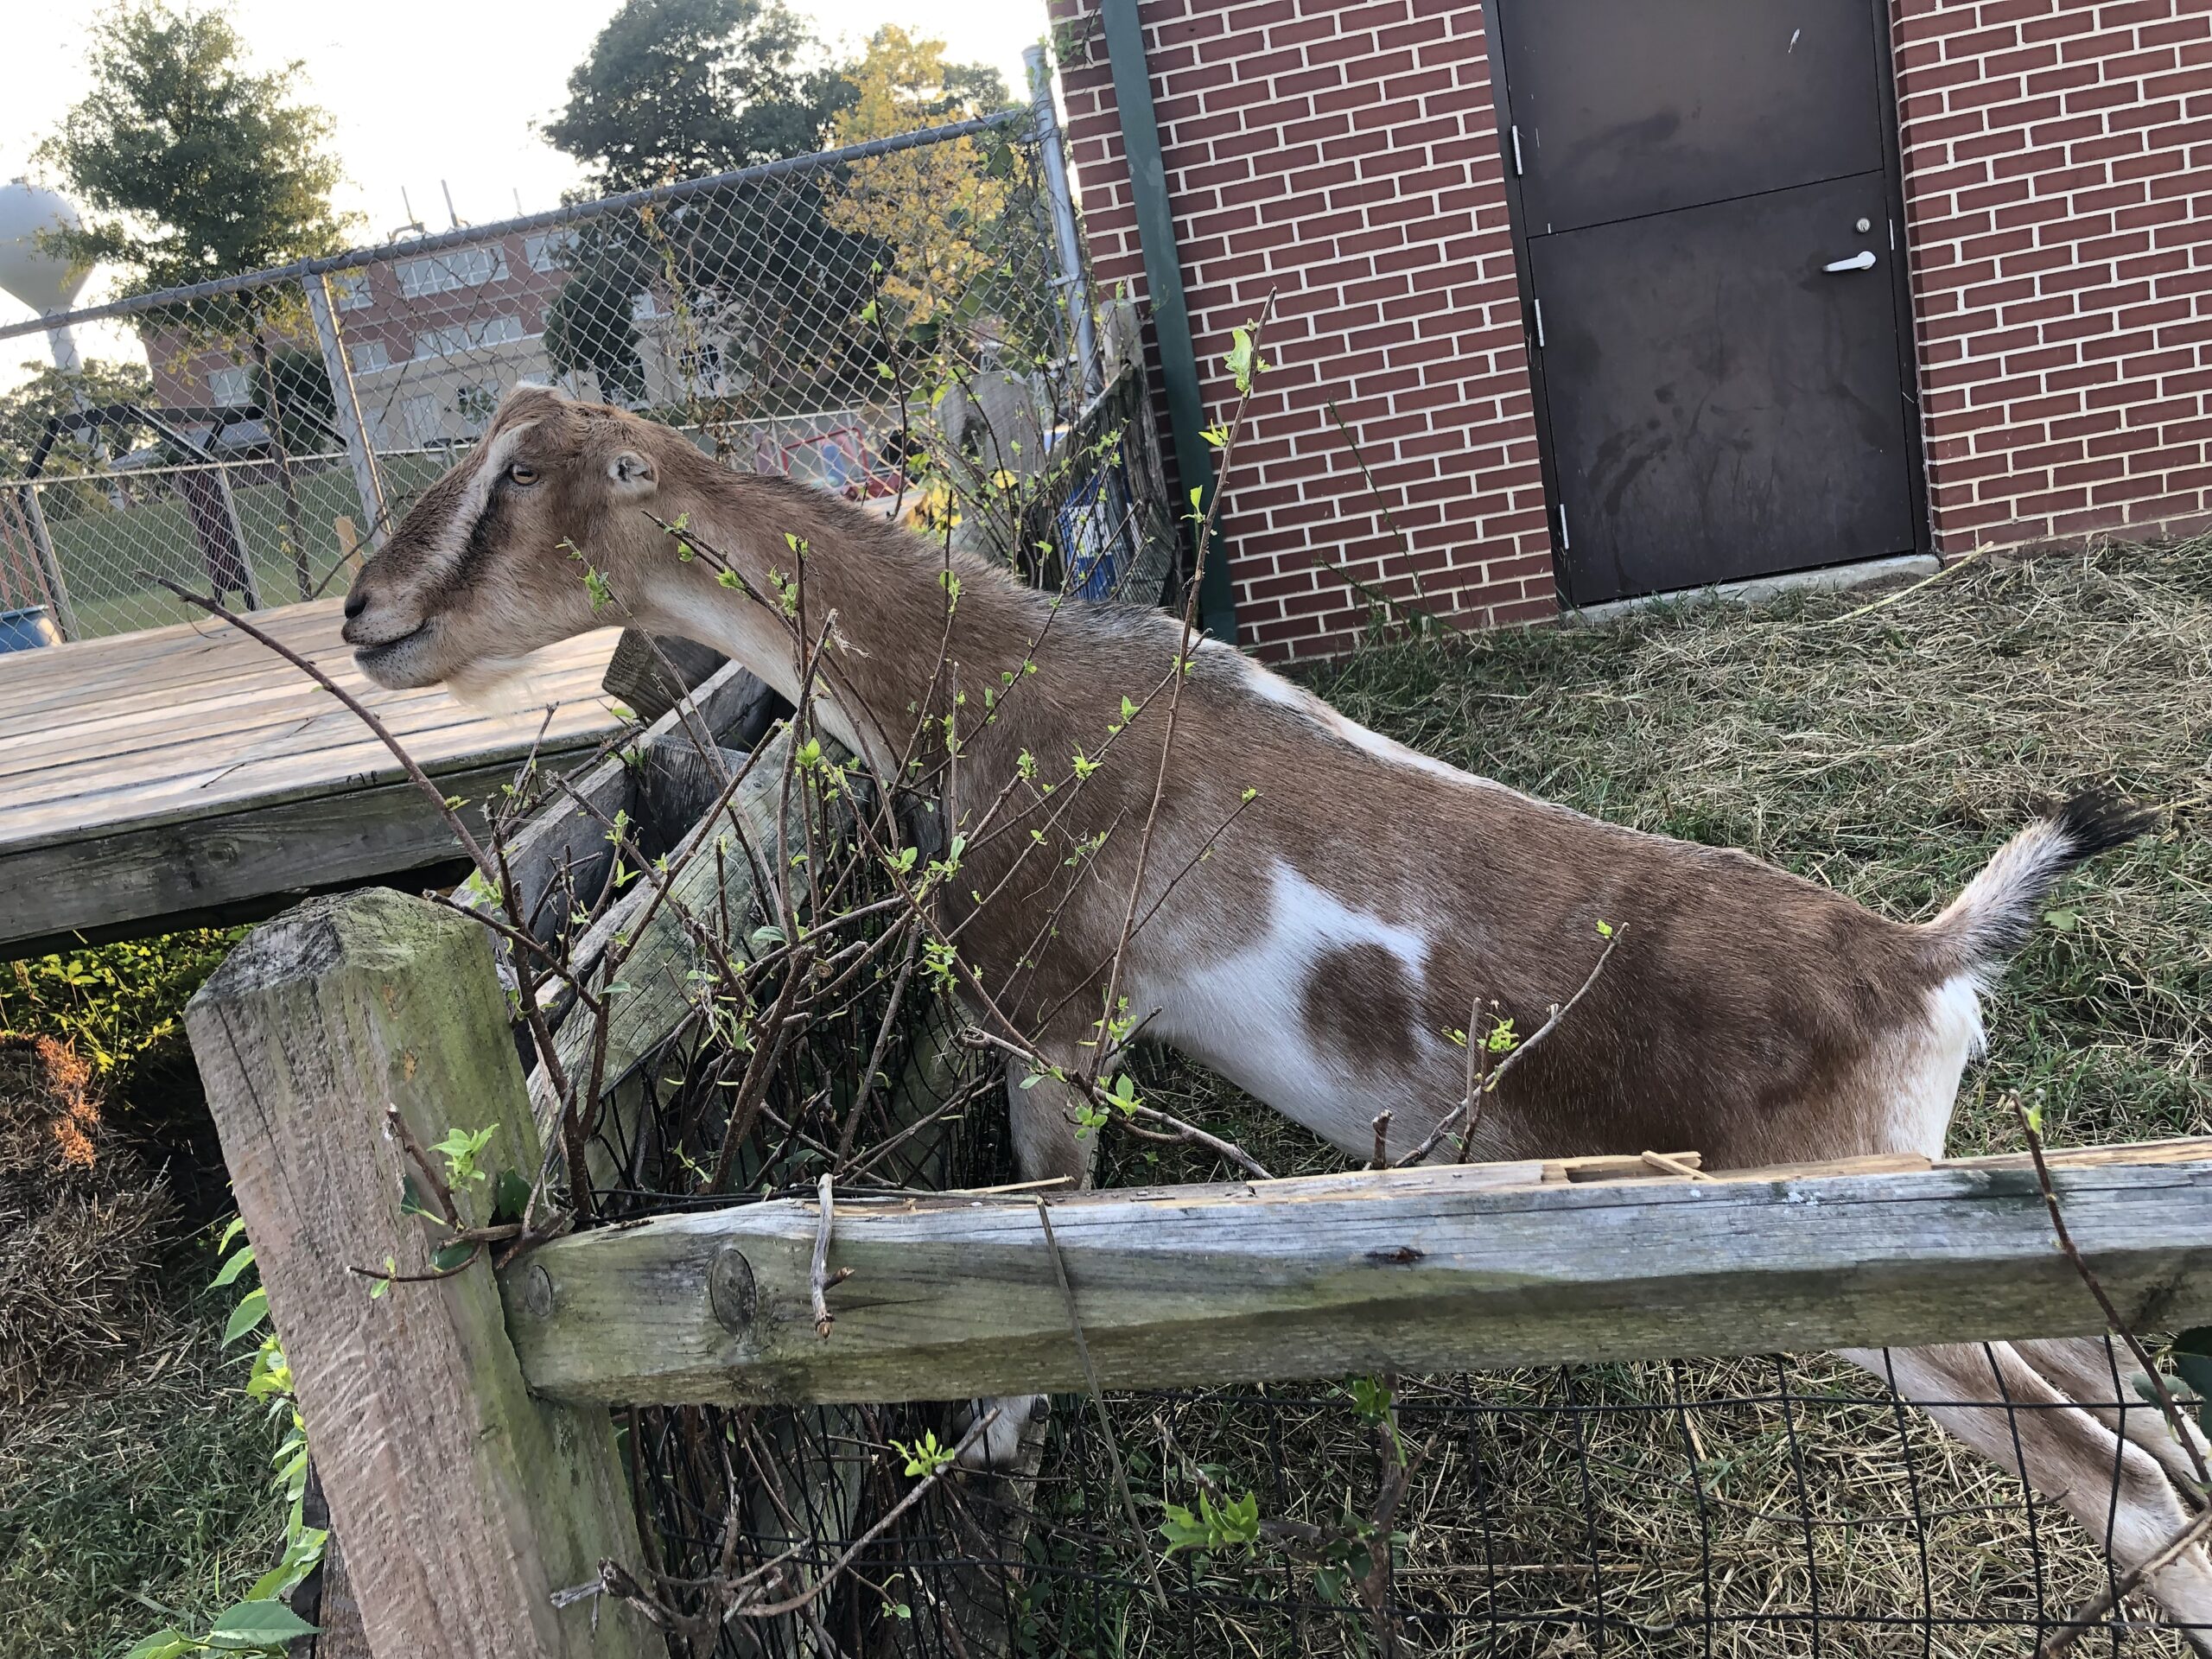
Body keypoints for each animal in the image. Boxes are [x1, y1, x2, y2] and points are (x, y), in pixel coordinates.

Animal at [336, 387, 2202, 1637]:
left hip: (1863, 1255)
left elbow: (1038, 1226)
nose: (365, 613)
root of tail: (1923, 960)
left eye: (518, 478)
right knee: (2148, 1403)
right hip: (1948, 1217)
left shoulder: (1052, 1015)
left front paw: (989, 1450)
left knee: (2125, 1479)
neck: (985, 684)